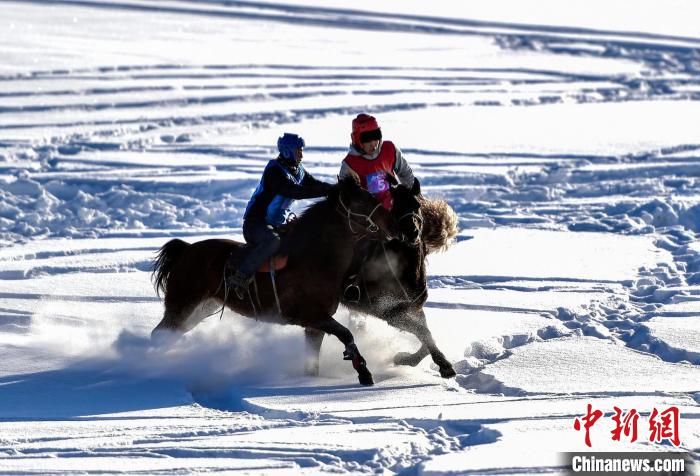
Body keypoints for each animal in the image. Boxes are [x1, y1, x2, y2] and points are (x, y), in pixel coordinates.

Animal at [149, 180, 400, 384]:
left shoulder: (314, 326)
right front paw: (364, 372)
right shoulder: (313, 317)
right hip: (182, 305)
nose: (394, 225)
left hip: (200, 308)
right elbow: (346, 334)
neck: (315, 258)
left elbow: (313, 361)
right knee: (158, 334)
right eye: (361, 202)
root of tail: (185, 250)